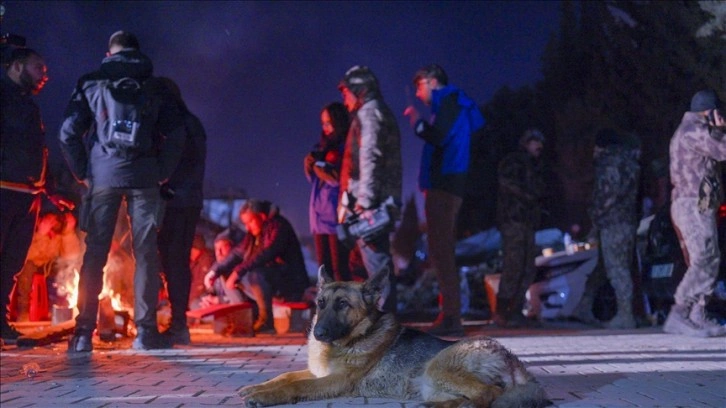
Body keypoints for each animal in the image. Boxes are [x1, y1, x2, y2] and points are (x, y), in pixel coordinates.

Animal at [240, 268, 552, 408]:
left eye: (343, 305)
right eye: (321, 303)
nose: (319, 333)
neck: (356, 337)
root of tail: (514, 361)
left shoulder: (334, 381)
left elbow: (295, 385)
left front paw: (264, 396)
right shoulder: (319, 373)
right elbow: (285, 376)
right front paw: (256, 387)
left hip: (438, 367)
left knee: (487, 394)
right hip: (432, 384)